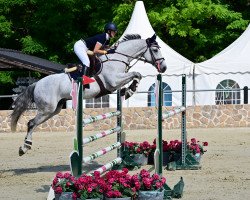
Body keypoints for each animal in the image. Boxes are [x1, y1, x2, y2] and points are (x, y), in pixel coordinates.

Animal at [10, 34, 167, 156]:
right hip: (46, 109)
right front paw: (129, 90)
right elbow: (136, 74)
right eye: (154, 50)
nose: (164, 67)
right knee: (31, 123)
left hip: (54, 110)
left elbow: (137, 75)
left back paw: (25, 147)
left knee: (34, 123)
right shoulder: (113, 81)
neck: (117, 59)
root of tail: (37, 84)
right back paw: (24, 148)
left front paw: (128, 90)